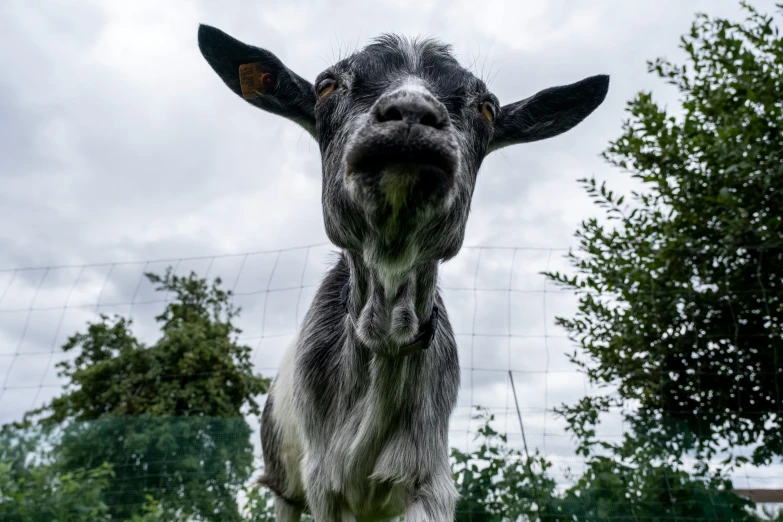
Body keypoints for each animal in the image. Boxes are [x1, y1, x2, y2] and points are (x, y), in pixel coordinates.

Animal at [198, 27, 612, 520]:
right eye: (326, 86)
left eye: (488, 108)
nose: (413, 115)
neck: (388, 338)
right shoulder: (322, 485)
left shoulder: (429, 481)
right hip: (284, 482)